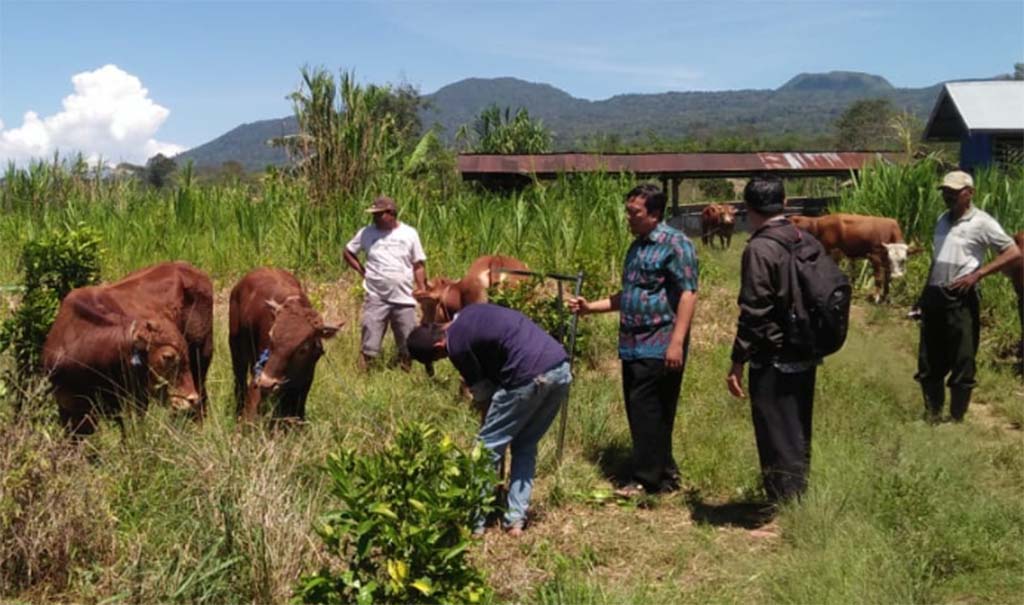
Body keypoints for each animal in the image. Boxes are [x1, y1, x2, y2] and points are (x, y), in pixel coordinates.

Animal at [229, 268, 344, 423]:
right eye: (271, 335)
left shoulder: (304, 382)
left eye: (303, 349)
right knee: (239, 381)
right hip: (236, 349)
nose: (268, 382)